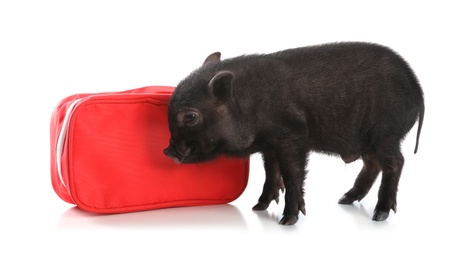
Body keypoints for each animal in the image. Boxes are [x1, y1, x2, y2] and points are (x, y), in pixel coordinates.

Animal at [164, 41, 426, 224]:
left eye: (191, 117)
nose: (167, 151)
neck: (248, 102)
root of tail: (418, 90)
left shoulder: (293, 134)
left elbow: (292, 173)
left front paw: (287, 220)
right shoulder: (269, 144)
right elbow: (271, 172)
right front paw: (258, 208)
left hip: (385, 133)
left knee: (395, 162)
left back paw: (379, 214)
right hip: (368, 140)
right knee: (373, 163)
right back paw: (344, 199)